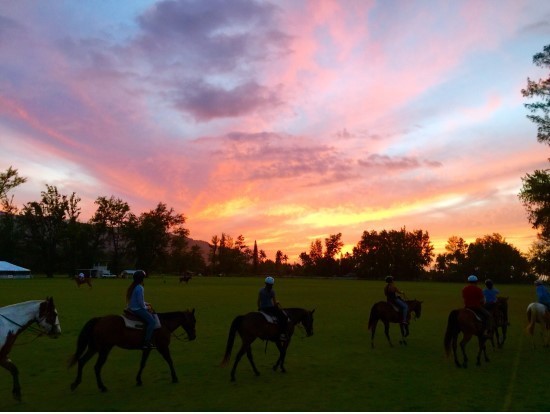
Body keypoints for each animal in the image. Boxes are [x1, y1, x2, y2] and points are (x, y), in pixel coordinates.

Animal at [68, 308, 197, 392]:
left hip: (94, 348)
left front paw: (138, 380)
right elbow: (170, 361)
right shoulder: (163, 347)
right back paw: (102, 387)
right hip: (104, 350)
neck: (163, 324)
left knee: (82, 361)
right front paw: (175, 378)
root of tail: (99, 320)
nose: (193, 337)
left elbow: (142, 364)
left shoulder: (147, 349)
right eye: (194, 321)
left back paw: (75, 383)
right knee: (97, 367)